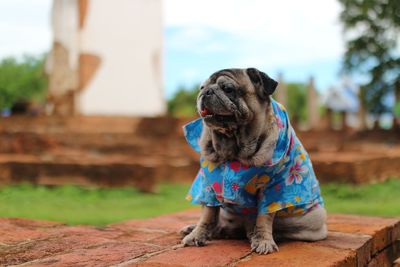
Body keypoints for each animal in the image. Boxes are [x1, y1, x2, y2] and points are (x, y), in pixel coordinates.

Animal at [180, 67, 326, 255]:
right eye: (202, 88)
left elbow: (263, 218)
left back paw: (254, 233)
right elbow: (207, 215)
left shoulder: (272, 190)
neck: (233, 147)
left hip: (313, 218)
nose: (206, 92)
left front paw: (263, 240)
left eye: (228, 89)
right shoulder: (208, 188)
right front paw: (197, 235)